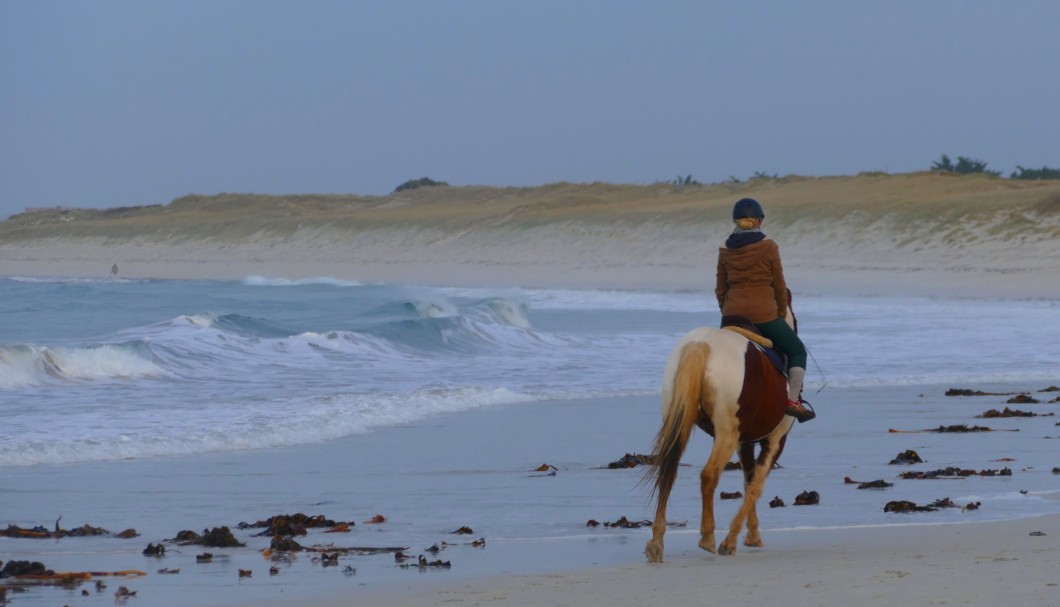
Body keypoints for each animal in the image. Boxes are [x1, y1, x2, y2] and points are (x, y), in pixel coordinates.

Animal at [640, 311, 797, 563]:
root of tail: (701, 344)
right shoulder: (775, 440)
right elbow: (756, 486)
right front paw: (732, 540)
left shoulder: (745, 442)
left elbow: (748, 482)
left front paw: (752, 535)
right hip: (727, 433)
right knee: (709, 474)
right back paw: (707, 537)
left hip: (680, 421)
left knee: (669, 471)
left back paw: (656, 542)